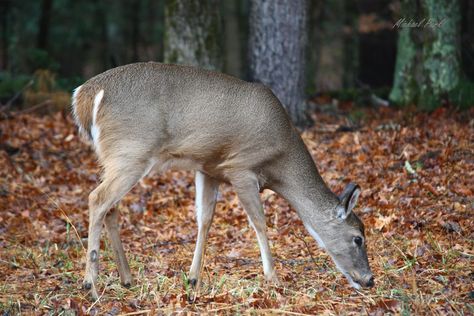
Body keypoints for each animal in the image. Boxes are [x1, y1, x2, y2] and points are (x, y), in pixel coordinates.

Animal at [71, 61, 374, 298]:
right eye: (358, 238)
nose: (369, 280)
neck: (280, 161)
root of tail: (85, 95)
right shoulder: (241, 168)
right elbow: (260, 223)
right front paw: (274, 279)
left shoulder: (209, 169)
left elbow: (204, 219)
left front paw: (193, 278)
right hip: (131, 152)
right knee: (97, 199)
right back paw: (90, 285)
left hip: (113, 158)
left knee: (110, 207)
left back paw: (126, 279)